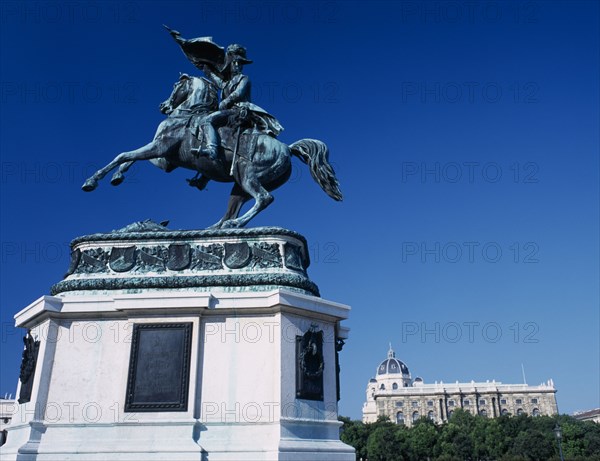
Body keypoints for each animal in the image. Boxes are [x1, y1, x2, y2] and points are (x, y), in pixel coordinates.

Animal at [81, 74, 342, 230]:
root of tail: (287, 148)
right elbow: (129, 159)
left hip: (248, 176)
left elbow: (123, 155)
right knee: (232, 209)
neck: (187, 114)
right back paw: (213, 229)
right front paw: (117, 177)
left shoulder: (160, 147)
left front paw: (92, 181)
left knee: (264, 198)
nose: (163, 106)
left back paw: (234, 225)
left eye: (175, 85)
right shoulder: (165, 159)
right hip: (239, 185)